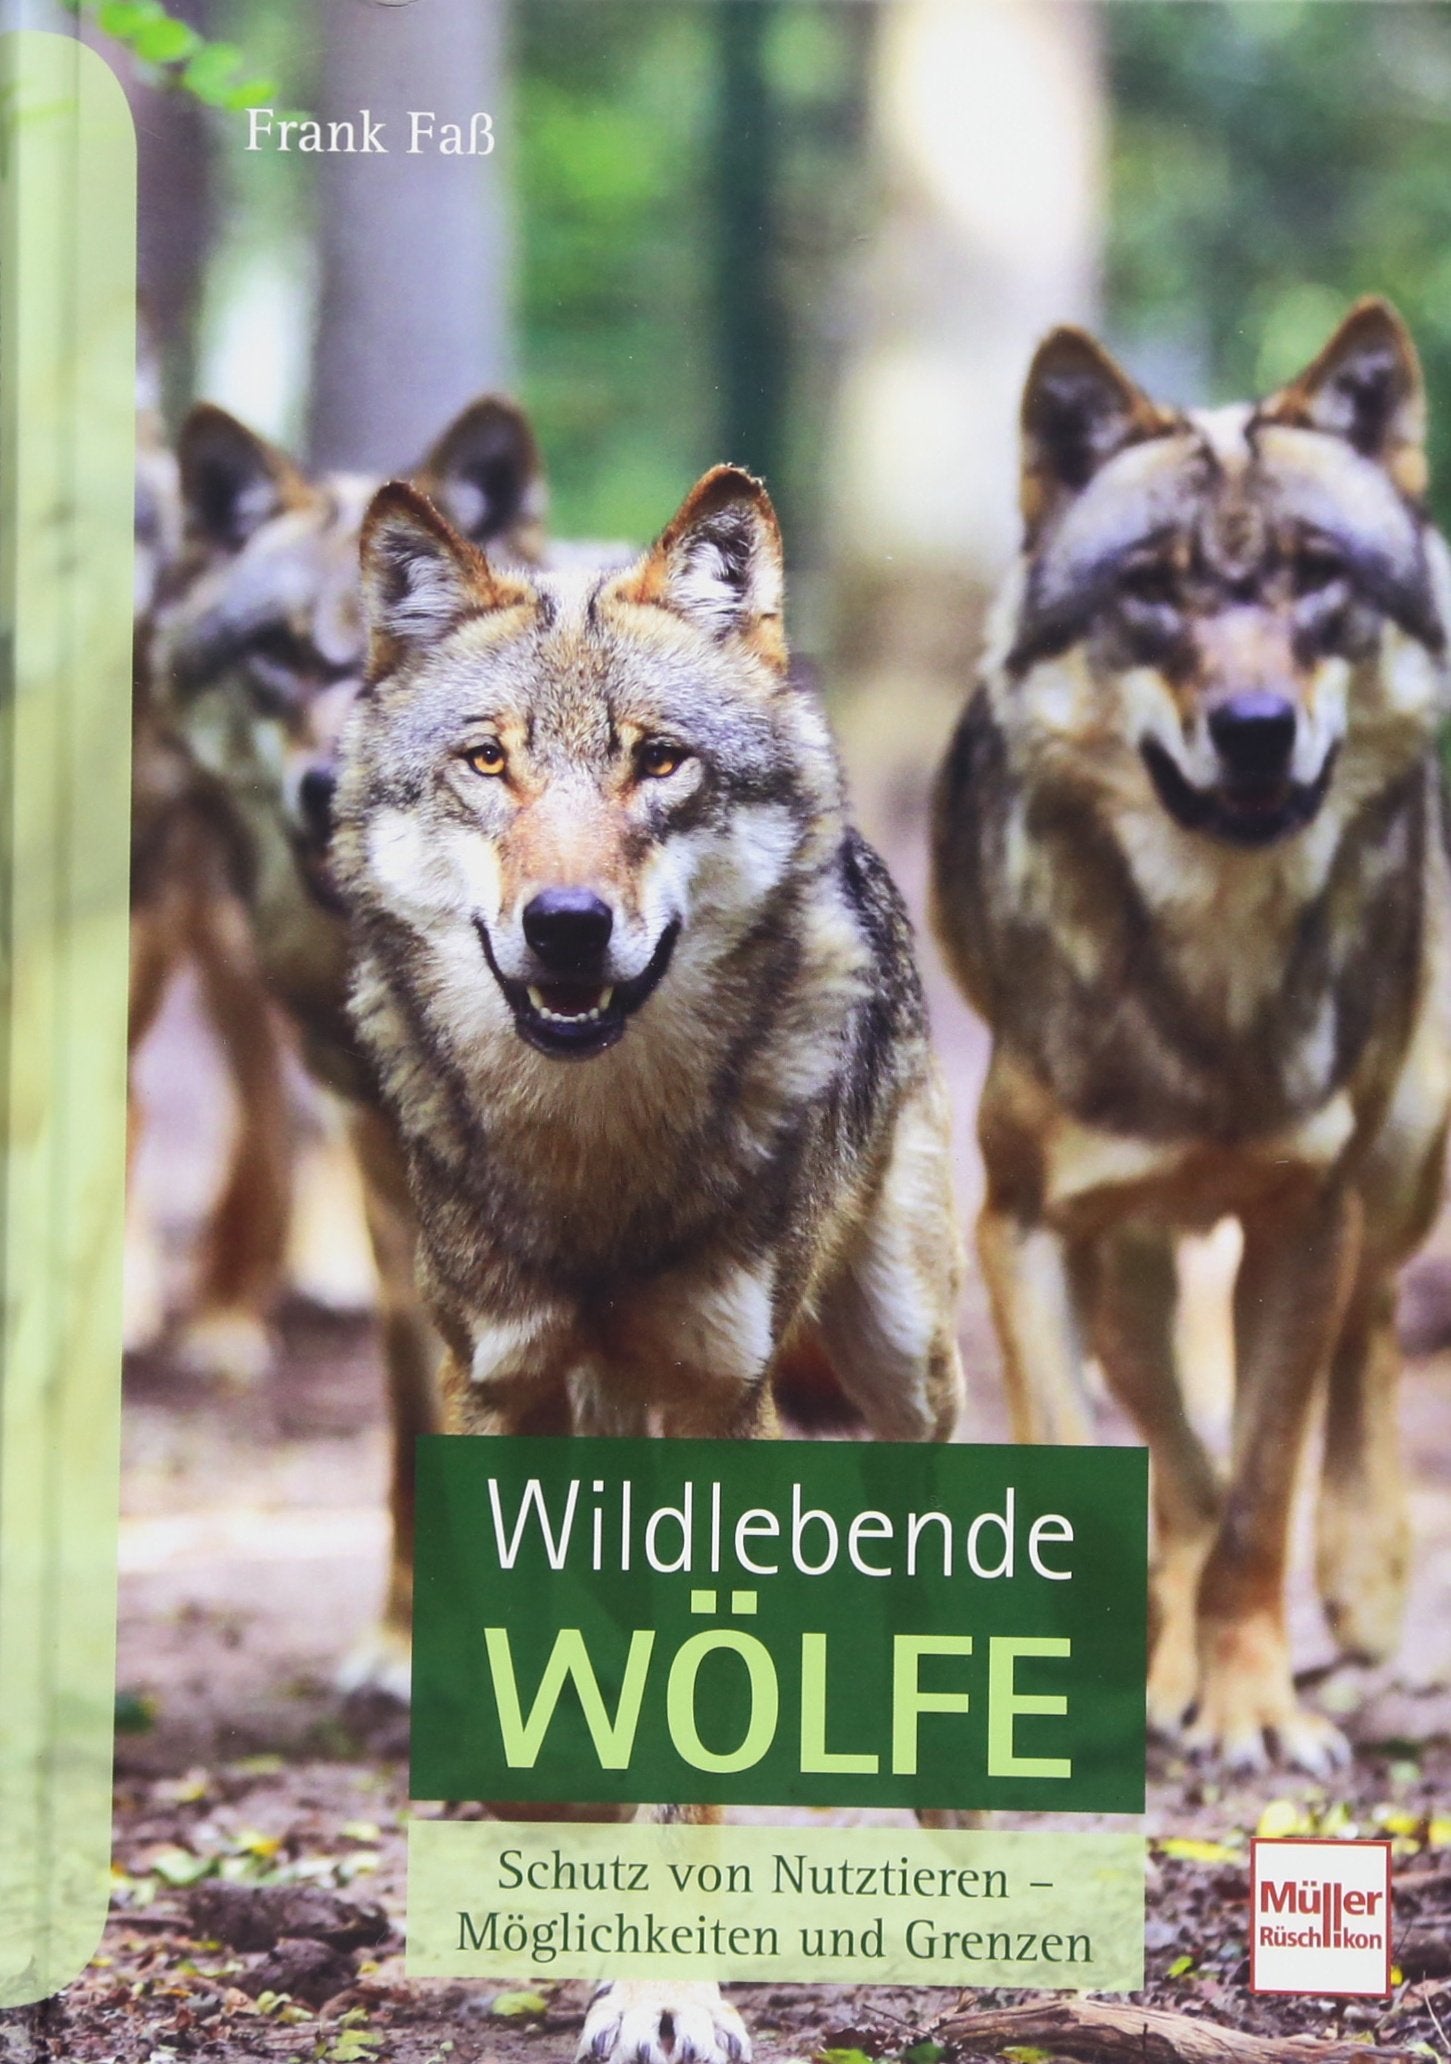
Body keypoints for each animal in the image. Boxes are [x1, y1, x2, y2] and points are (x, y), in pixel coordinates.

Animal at [333, 466, 965, 2062]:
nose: (565, 925)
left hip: (895, 1361)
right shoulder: (496, 1388)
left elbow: (694, 1734)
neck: (595, 1169)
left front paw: (666, 1987)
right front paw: (542, 1814)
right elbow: (532, 1665)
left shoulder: (715, 1400)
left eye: (658, 762)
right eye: (486, 762)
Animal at [932, 298, 1451, 1775]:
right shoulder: (1027, 1225)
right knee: (1166, 1414)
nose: (1254, 731)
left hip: (1397, 1154)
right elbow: (1128, 1465)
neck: (1210, 981)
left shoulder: (1302, 1218)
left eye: (1312, 580)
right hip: (1122, 1253)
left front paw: (1252, 1705)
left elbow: (1259, 1493)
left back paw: (1364, 1573)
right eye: (1151, 594)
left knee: (1369, 1324)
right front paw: (1146, 1676)